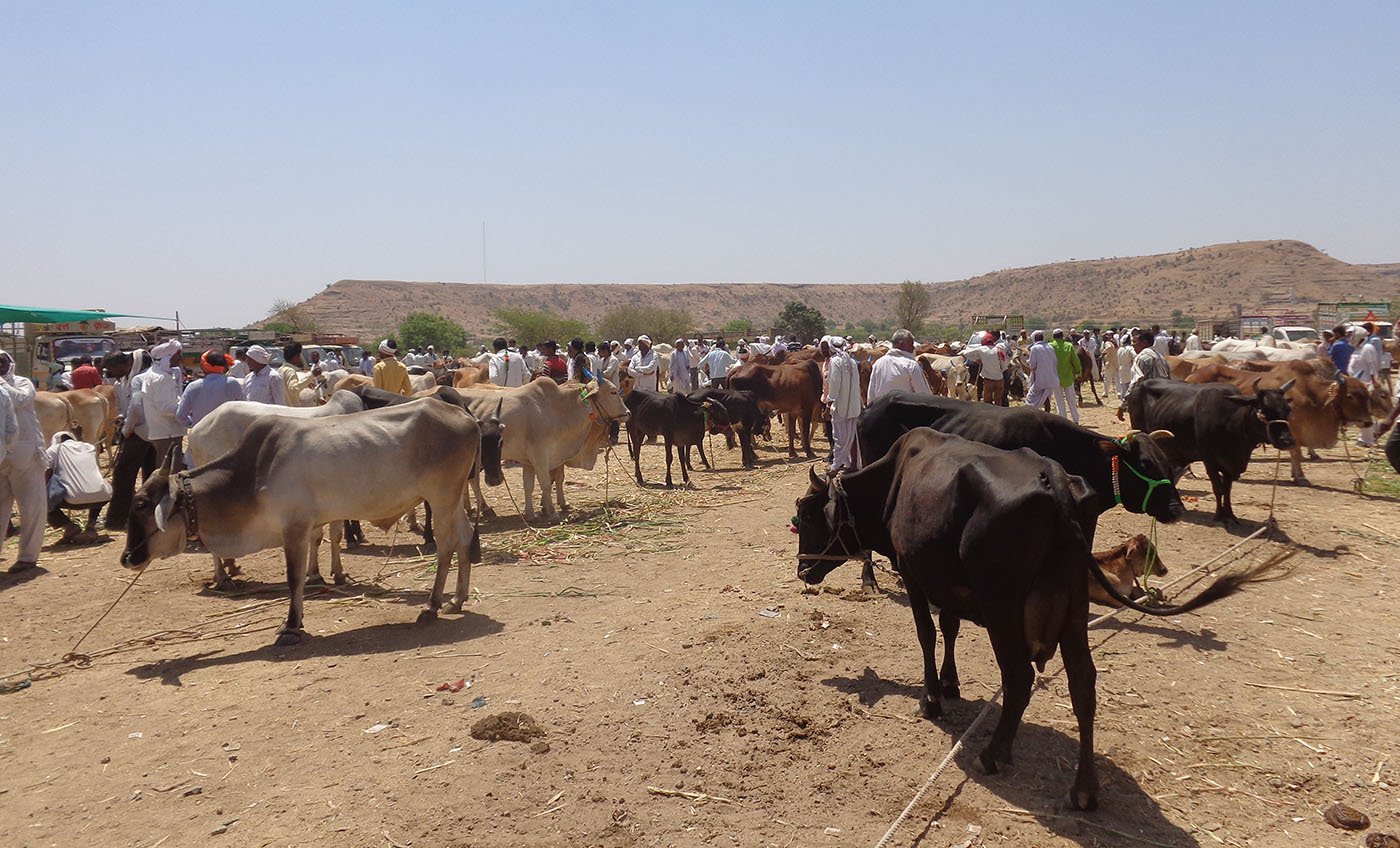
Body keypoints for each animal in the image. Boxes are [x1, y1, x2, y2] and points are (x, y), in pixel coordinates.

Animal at [795, 430, 1276, 811]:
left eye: (804, 515)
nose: (802, 571)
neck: (894, 478)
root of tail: (1056, 482)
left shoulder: (916, 575)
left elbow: (928, 634)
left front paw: (931, 697)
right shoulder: (950, 584)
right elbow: (950, 627)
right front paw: (951, 683)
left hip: (1003, 605)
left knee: (1020, 677)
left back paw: (993, 753)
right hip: (1075, 607)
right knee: (1083, 683)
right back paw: (1084, 789)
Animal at [1181, 361, 1388, 484]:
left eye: (1366, 394)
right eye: (1351, 395)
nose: (1368, 422)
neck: (1311, 394)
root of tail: (1191, 375)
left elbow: (1295, 453)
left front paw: (1295, 474)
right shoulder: (1293, 429)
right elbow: (1296, 453)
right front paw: (1301, 477)